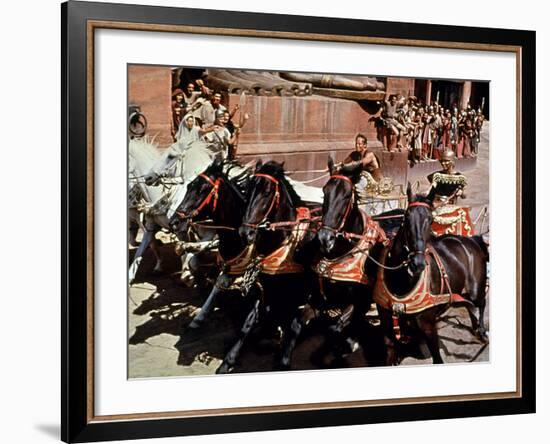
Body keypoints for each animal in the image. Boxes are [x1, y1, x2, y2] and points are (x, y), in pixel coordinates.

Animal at [171, 160, 253, 330]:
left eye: (203, 189)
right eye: (189, 186)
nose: (174, 222)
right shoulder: (230, 263)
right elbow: (218, 284)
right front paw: (198, 317)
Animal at [217, 161, 316, 372]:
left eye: (268, 192)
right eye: (249, 189)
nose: (245, 232)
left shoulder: (301, 292)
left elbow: (295, 324)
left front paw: (283, 360)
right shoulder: (265, 287)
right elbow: (249, 321)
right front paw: (228, 360)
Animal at [280, 158, 406, 370]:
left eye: (347, 196)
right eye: (324, 192)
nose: (325, 238)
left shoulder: (361, 302)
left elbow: (336, 327)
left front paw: (345, 345)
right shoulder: (320, 299)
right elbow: (297, 324)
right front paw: (284, 361)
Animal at [378, 186, 490, 366]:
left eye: (431, 220)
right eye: (406, 217)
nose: (417, 263)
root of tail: (470, 240)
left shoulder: (428, 326)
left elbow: (437, 358)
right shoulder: (387, 323)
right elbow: (390, 351)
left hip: (476, 288)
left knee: (480, 302)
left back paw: (481, 331)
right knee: (468, 304)